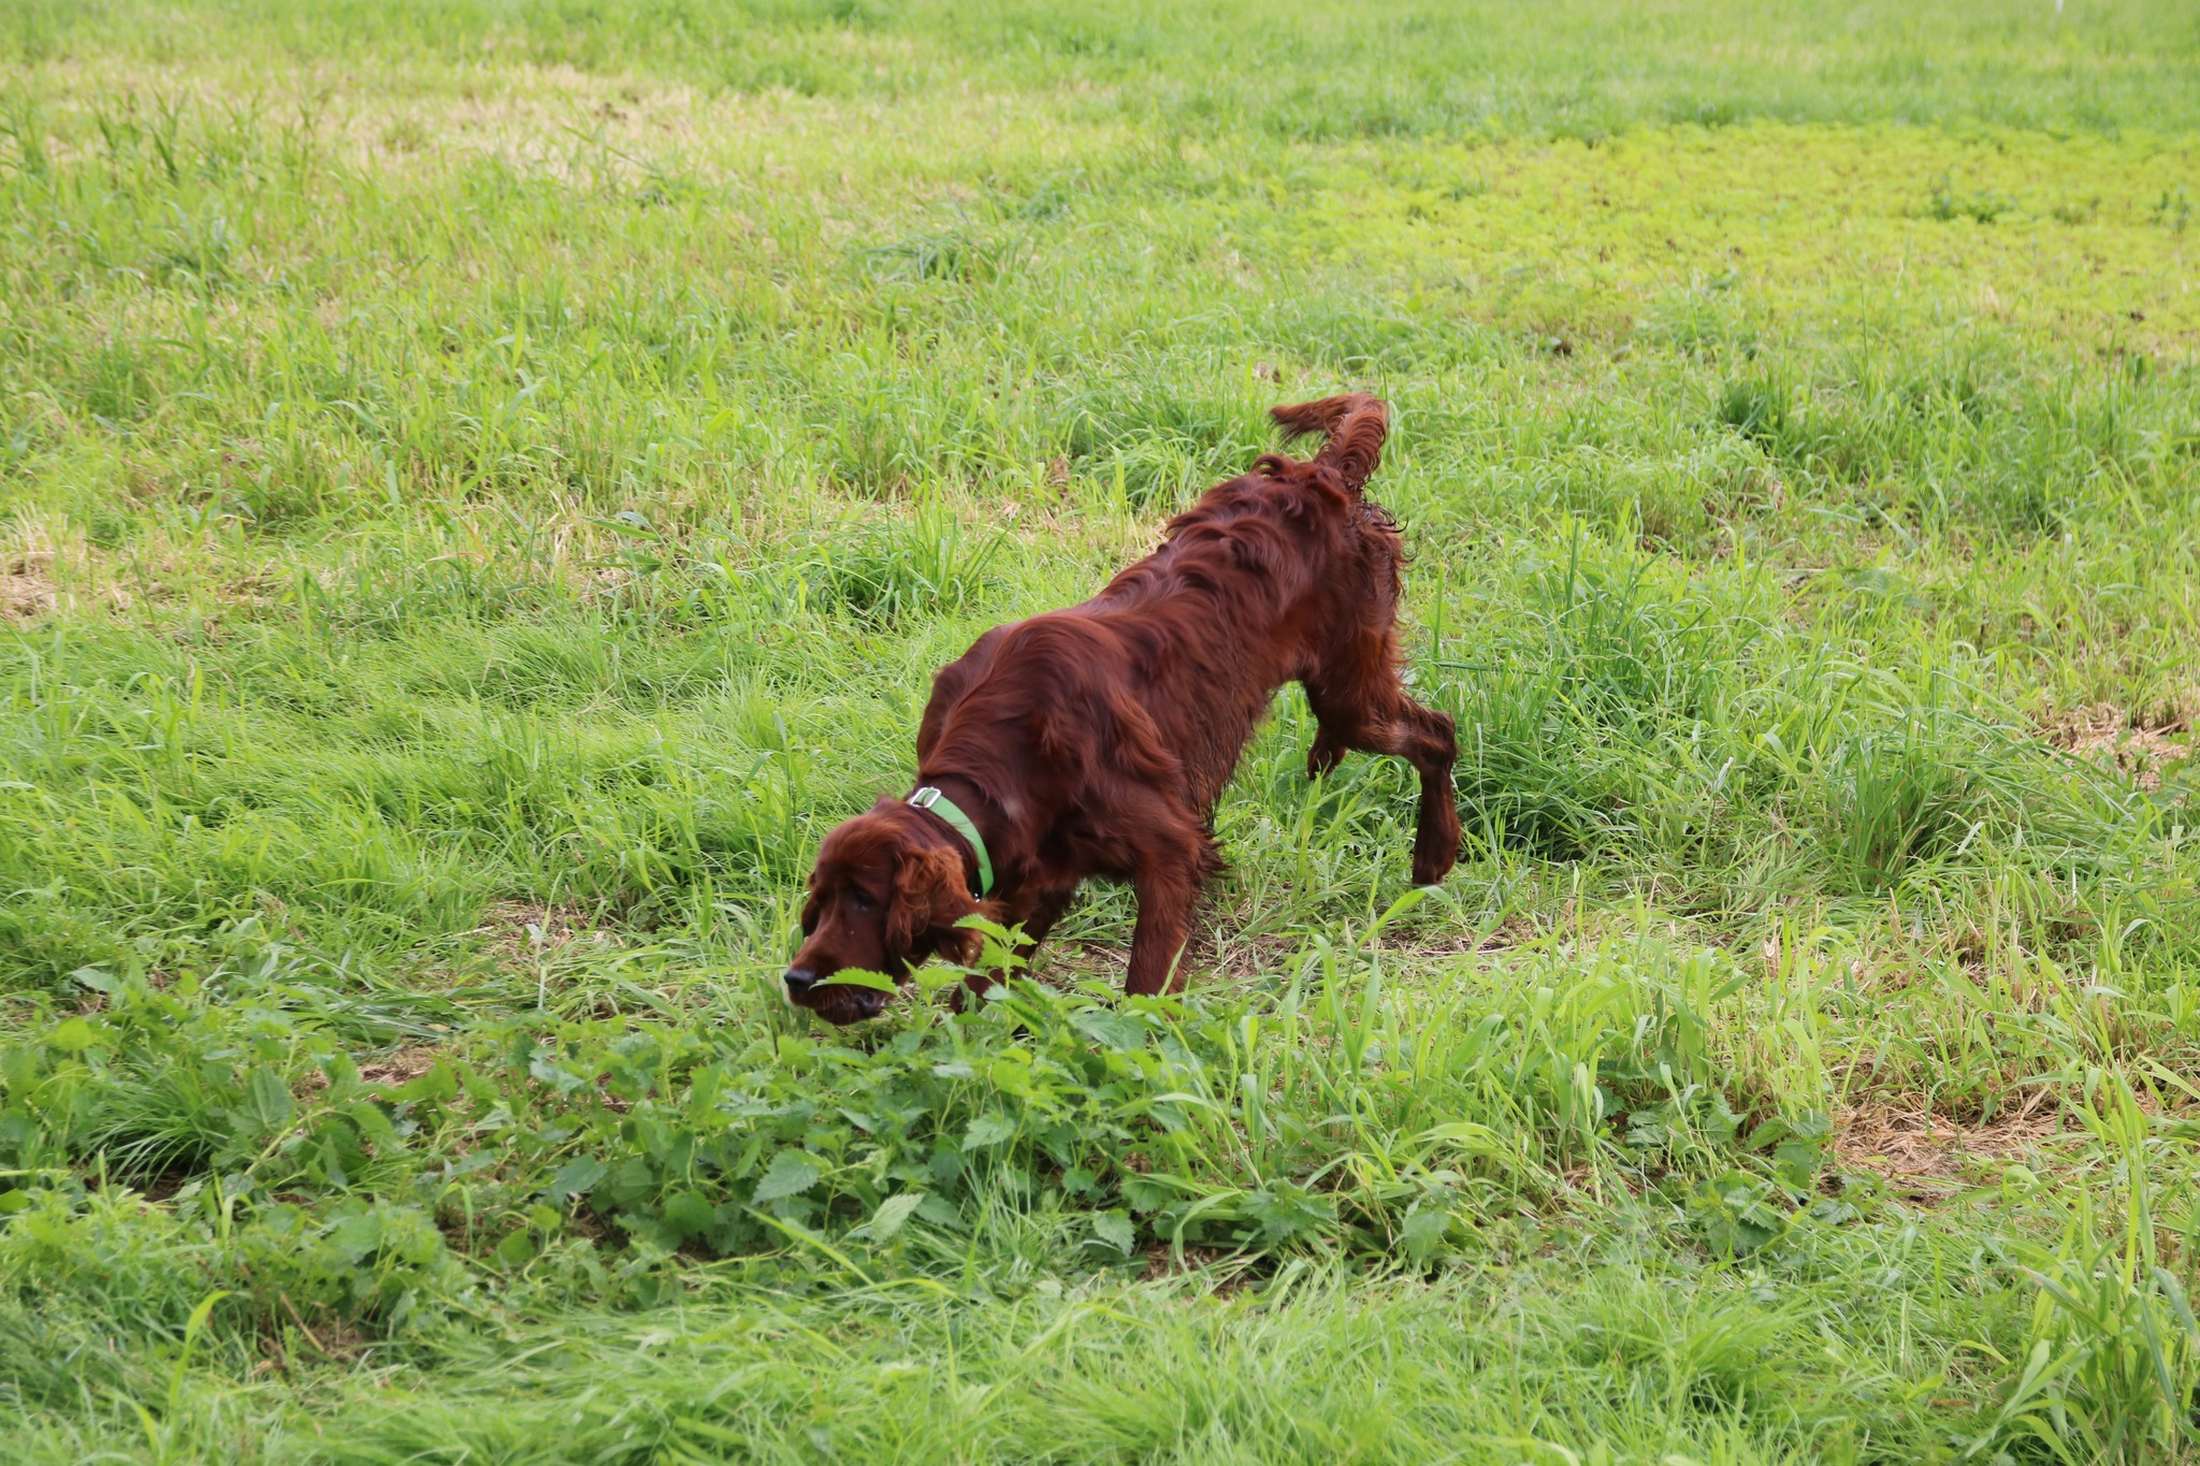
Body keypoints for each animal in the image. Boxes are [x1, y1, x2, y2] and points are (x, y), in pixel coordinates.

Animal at [784, 394, 1458, 1023]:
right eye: (821, 898)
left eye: (866, 898)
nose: (796, 980)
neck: (1007, 757)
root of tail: (1324, 474)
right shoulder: (1038, 876)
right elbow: (982, 988)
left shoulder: (1170, 850)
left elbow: (1145, 982)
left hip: (1351, 696)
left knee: (1438, 733)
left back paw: (1434, 857)